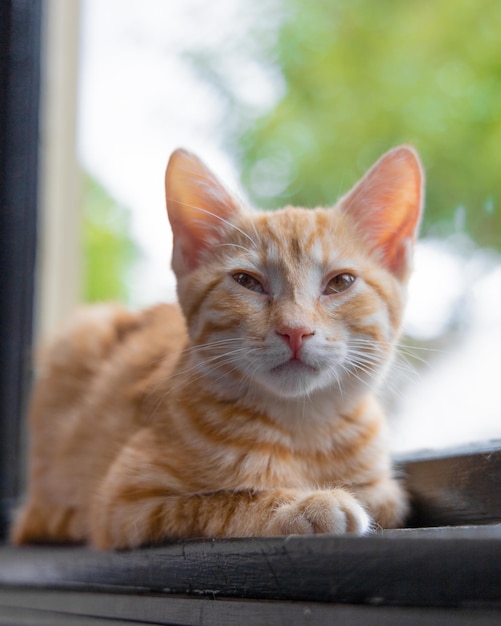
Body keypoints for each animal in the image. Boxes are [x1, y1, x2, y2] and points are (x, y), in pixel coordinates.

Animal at [10, 145, 422, 544]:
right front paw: (306, 504)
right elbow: (222, 501)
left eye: (340, 282)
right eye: (247, 282)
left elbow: (387, 497)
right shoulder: (124, 504)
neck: (300, 430)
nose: (295, 330)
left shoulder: (387, 490)